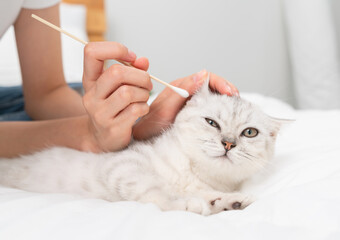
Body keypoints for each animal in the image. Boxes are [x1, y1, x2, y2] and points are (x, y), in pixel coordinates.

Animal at [0, 77, 282, 216]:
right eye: (212, 122)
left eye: (249, 132)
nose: (228, 143)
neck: (193, 175)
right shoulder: (122, 164)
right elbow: (155, 191)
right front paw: (184, 204)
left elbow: (212, 197)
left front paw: (233, 201)